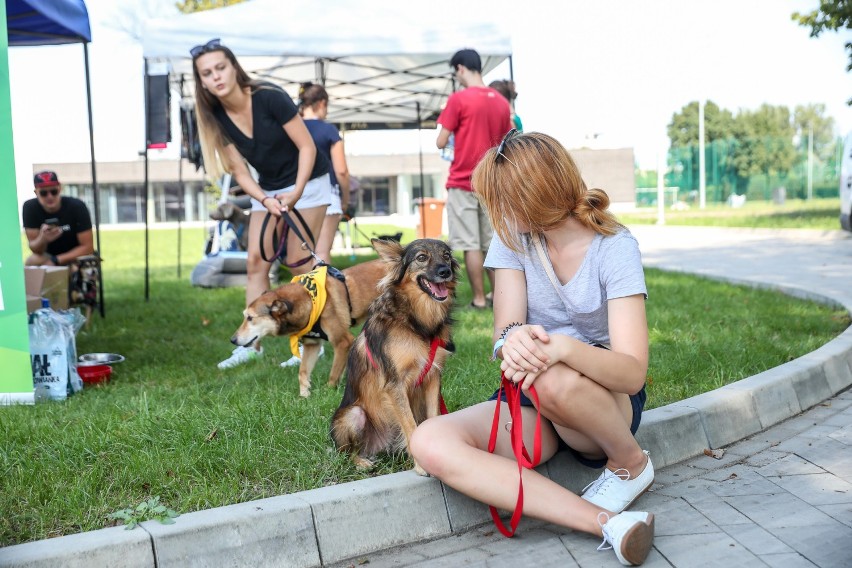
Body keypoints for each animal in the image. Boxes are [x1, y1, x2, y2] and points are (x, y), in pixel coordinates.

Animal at [228, 260, 384, 398]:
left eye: (250, 318)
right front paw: (304, 395)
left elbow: (333, 374)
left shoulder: (343, 342)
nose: (232, 340)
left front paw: (328, 391)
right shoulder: (311, 345)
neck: (309, 300)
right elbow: (302, 371)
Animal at [330, 236, 460, 474]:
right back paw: (362, 462)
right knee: (348, 453)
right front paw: (421, 464)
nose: (445, 271)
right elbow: (410, 426)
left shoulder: (432, 377)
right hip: (354, 415)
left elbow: (433, 417)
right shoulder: (394, 384)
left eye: (446, 256)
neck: (416, 321)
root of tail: (379, 446)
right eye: (421, 257)